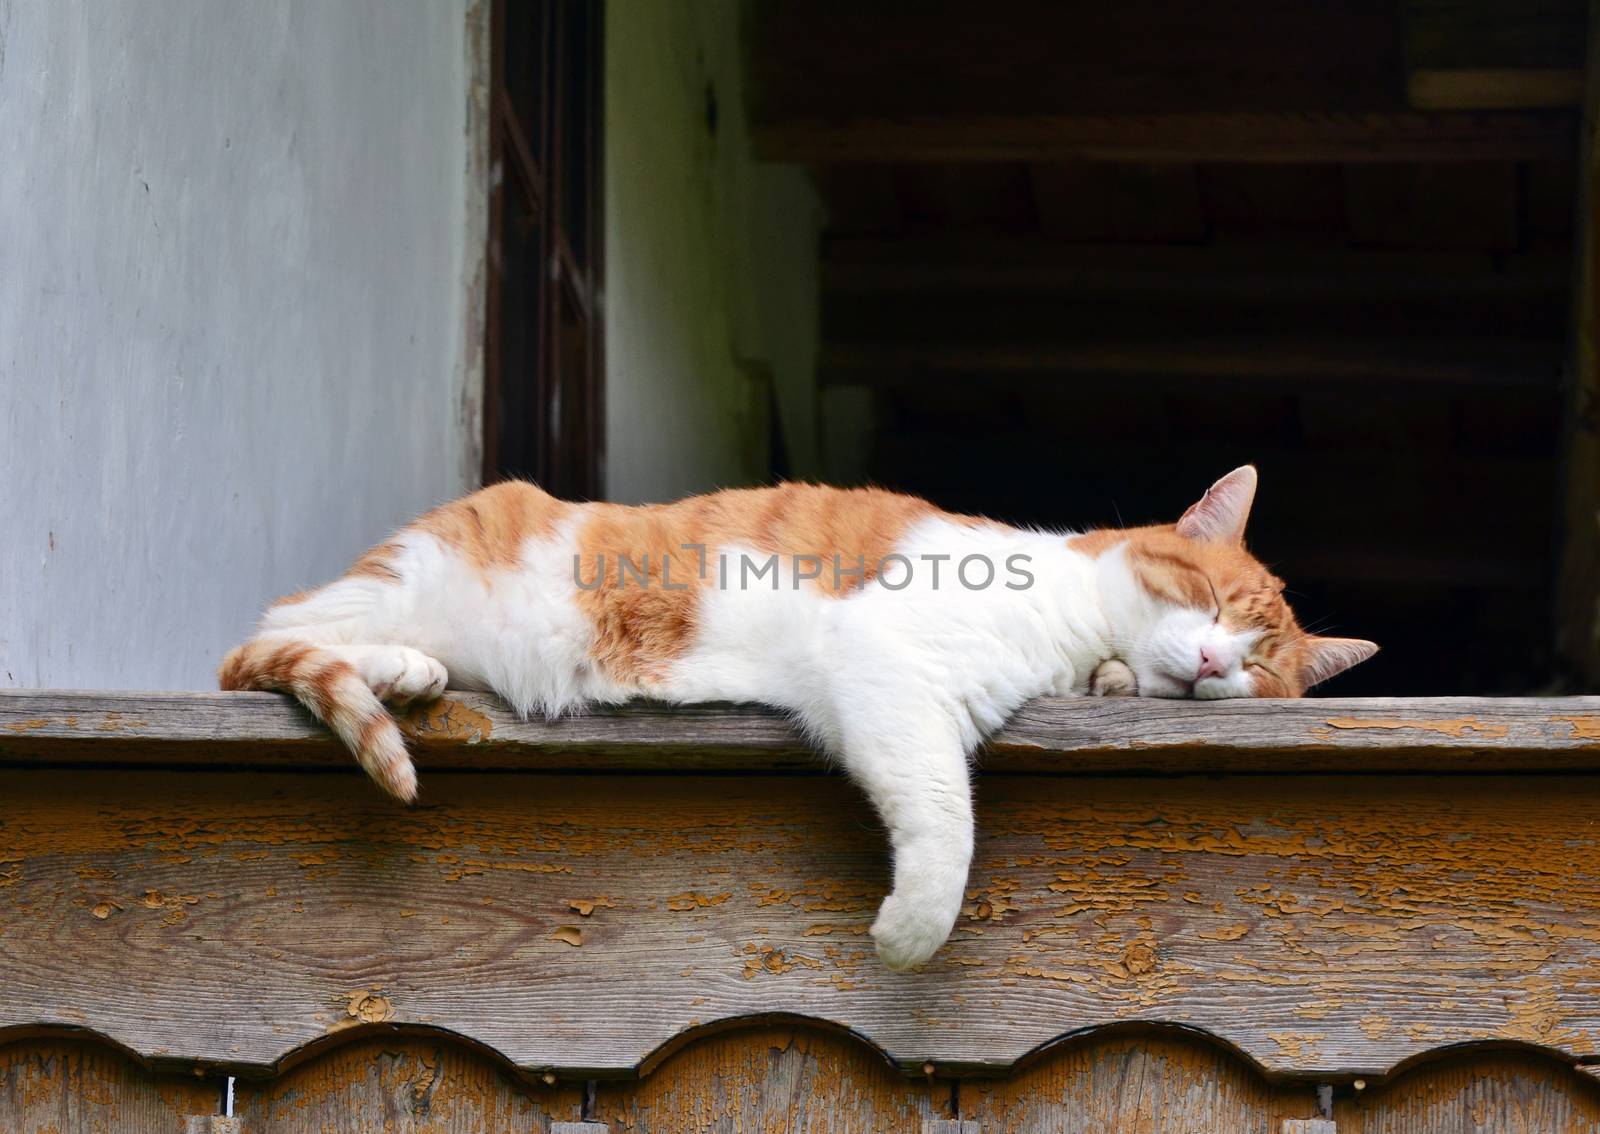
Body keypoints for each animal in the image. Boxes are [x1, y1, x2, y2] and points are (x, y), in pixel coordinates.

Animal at [222, 463, 1376, 966]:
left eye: (1257, 666)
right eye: (1211, 601)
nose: (1214, 659)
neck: (1068, 624)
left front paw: (1119, 686)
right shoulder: (882, 664)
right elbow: (944, 822)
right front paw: (910, 934)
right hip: (403, 584)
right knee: (261, 644)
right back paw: (391, 668)